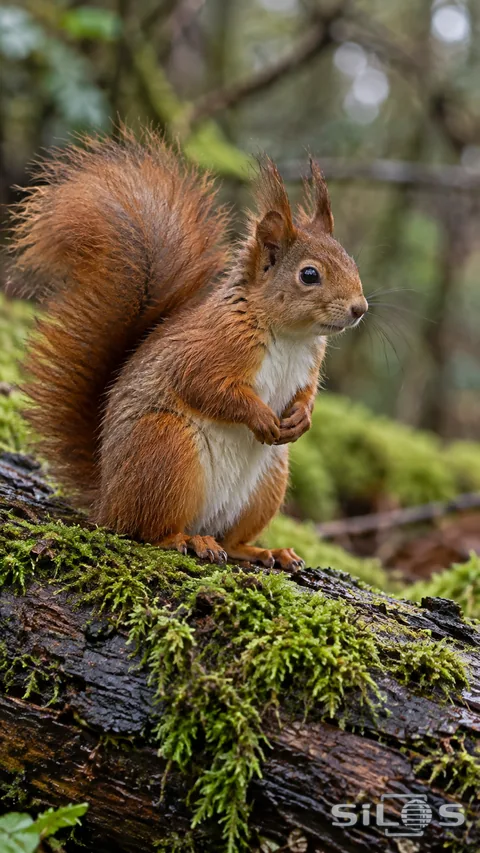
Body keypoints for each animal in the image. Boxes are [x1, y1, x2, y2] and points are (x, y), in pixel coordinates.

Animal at [11, 127, 367, 570]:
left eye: (352, 263)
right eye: (309, 275)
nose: (360, 308)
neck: (289, 336)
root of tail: (106, 500)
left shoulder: (308, 364)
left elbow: (305, 394)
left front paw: (301, 419)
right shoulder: (210, 349)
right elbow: (205, 387)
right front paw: (261, 417)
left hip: (268, 481)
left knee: (231, 539)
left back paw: (264, 550)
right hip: (167, 449)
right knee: (144, 530)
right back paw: (186, 540)